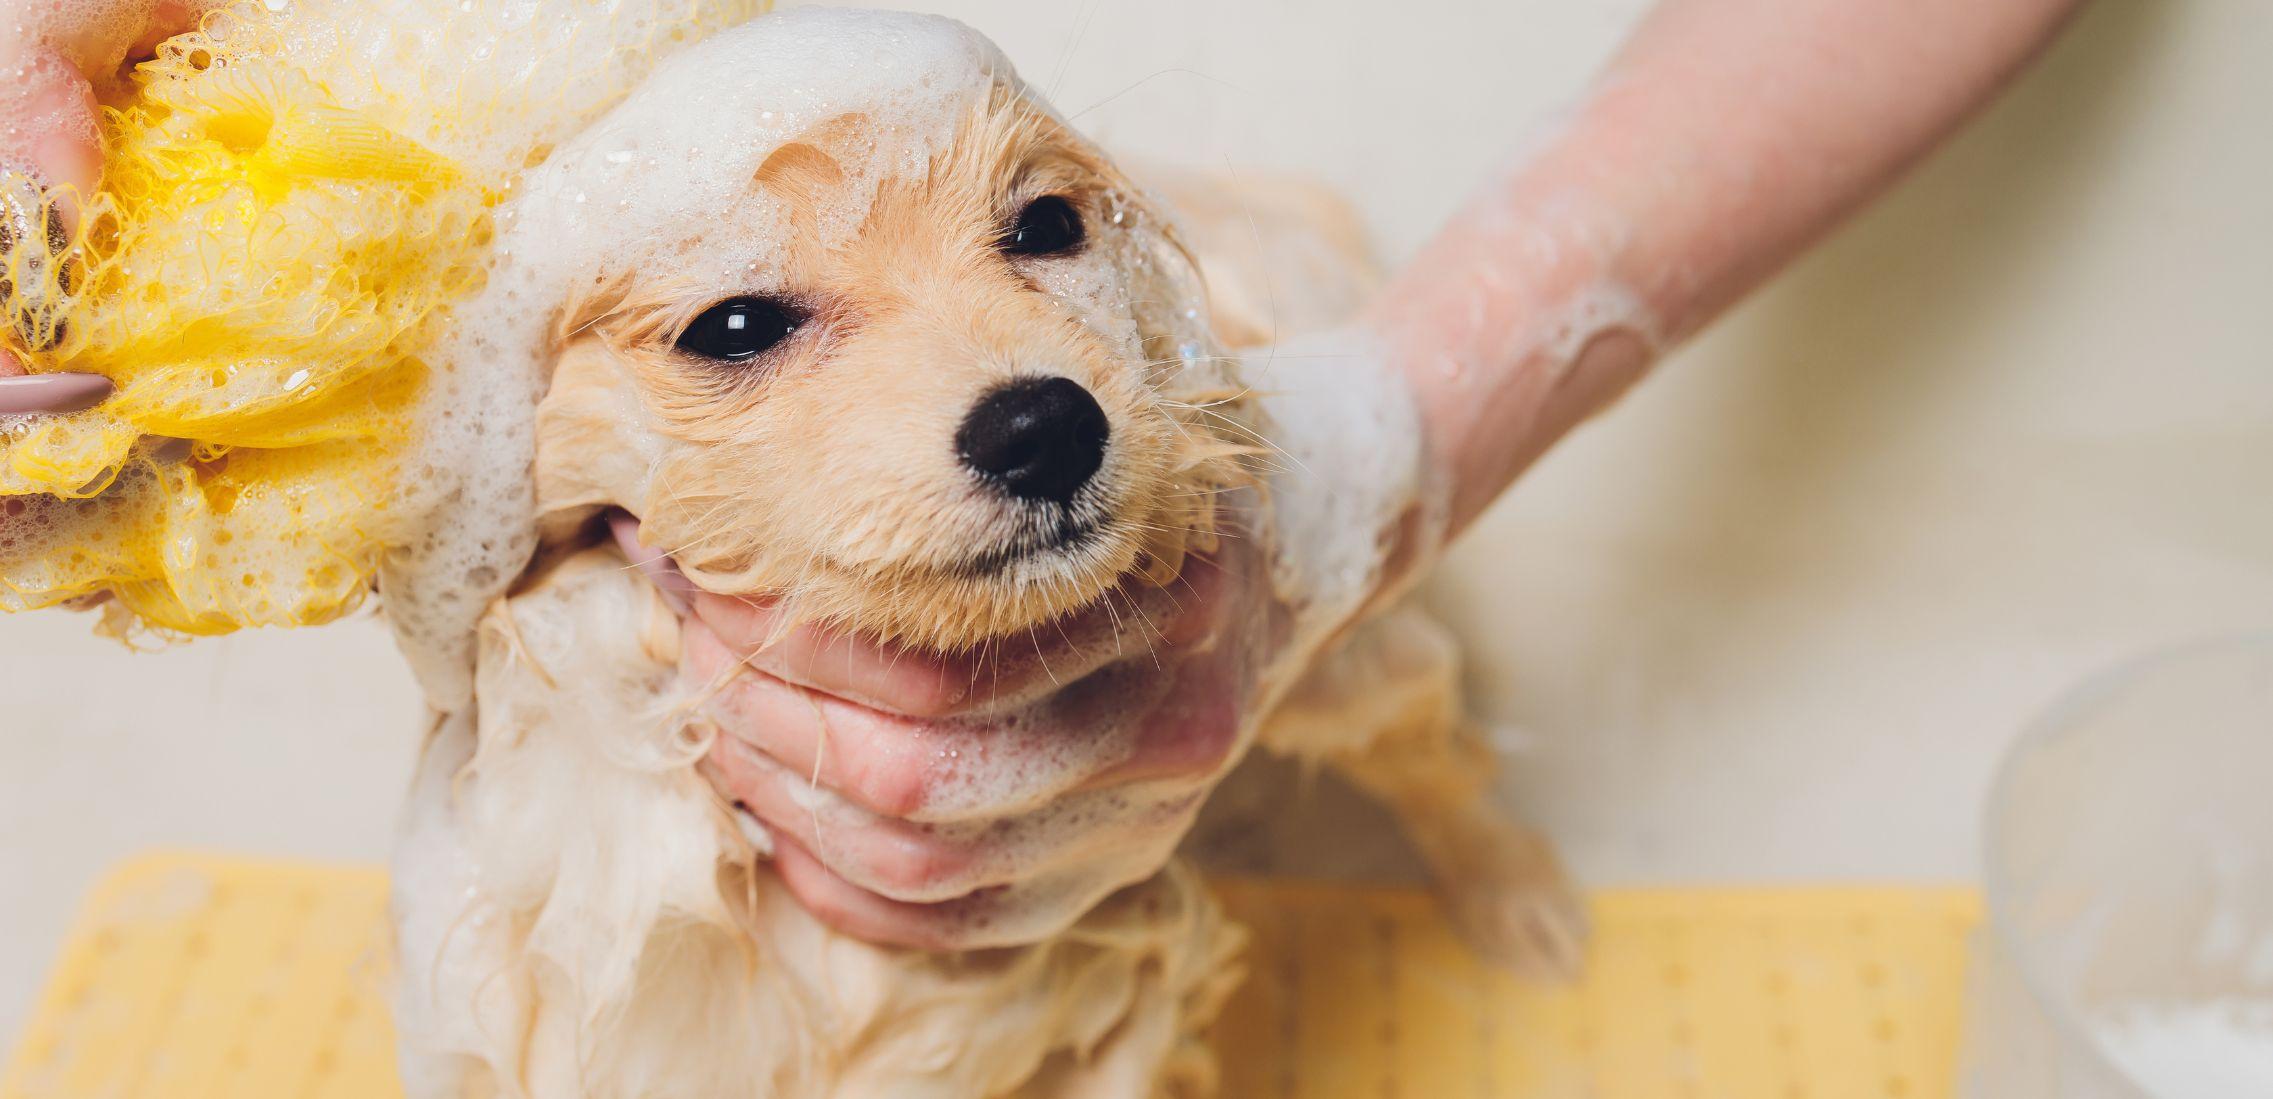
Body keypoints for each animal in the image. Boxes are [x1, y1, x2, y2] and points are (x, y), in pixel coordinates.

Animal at [390, 8, 1572, 1099]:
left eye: (1046, 224)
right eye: (733, 325)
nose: (1042, 428)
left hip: (1345, 650)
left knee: (1435, 755)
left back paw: (1517, 897)